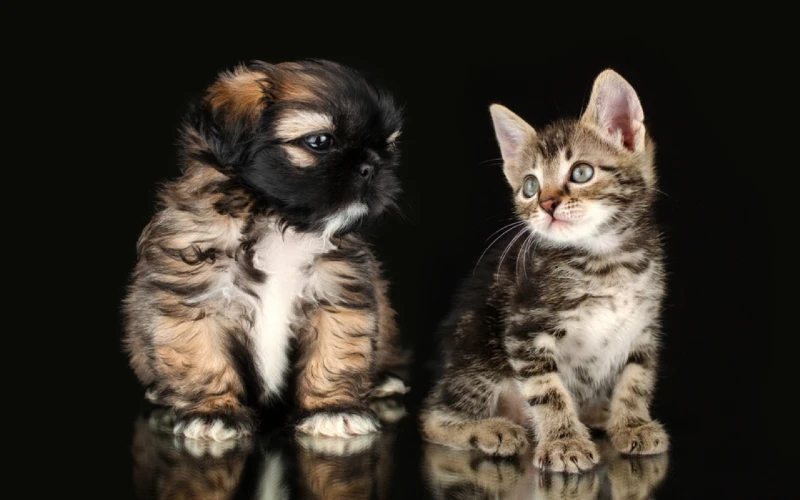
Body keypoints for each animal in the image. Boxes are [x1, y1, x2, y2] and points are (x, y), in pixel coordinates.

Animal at [418, 69, 668, 472]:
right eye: (530, 186)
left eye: (581, 172)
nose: (547, 204)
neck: (605, 260)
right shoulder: (525, 327)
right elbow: (547, 391)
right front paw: (564, 442)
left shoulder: (643, 327)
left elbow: (636, 379)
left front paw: (632, 424)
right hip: (477, 347)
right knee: (432, 417)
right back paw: (490, 429)